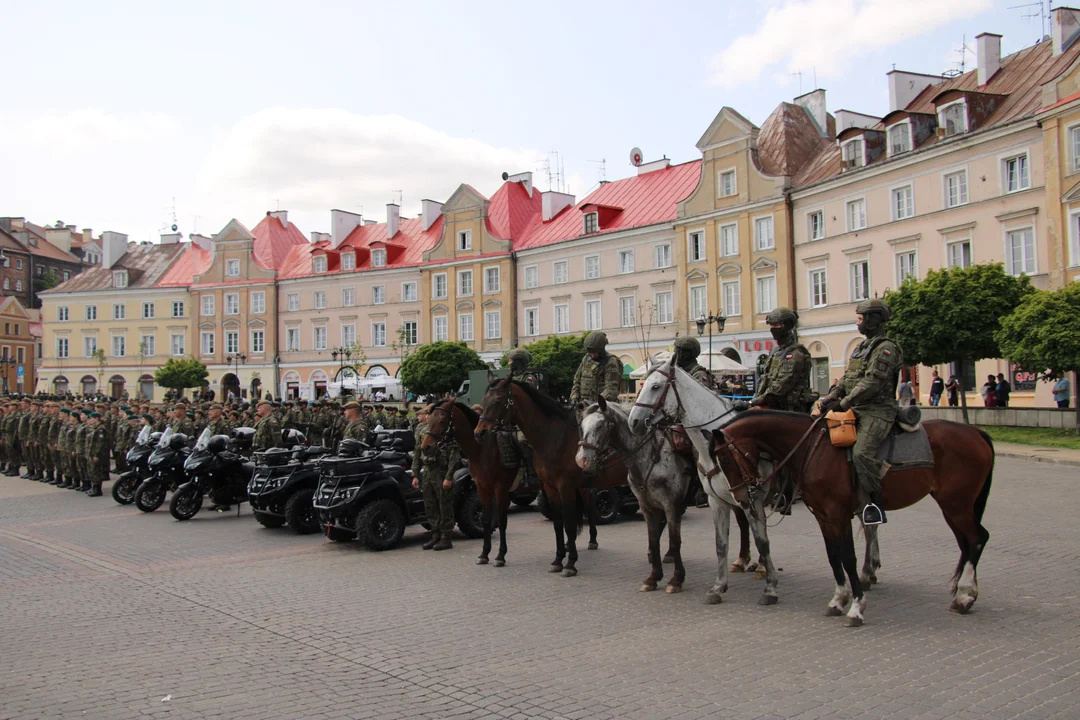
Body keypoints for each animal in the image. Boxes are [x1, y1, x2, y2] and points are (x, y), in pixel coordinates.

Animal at [419, 399, 520, 569]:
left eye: (442, 420)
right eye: (429, 419)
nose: (425, 447)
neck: (483, 450)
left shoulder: (501, 489)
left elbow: (501, 521)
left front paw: (500, 556)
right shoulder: (482, 488)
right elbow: (486, 520)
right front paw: (484, 554)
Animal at [477, 379, 630, 578]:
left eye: (497, 400)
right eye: (484, 400)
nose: (480, 433)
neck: (553, 436)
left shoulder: (565, 487)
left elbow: (569, 524)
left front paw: (570, 563)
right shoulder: (550, 487)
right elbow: (558, 523)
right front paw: (558, 560)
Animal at [578, 397, 686, 595]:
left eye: (600, 425)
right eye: (582, 426)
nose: (583, 460)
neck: (651, 458)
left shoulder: (671, 505)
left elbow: (675, 542)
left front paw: (676, 580)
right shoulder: (647, 507)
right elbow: (653, 540)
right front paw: (653, 578)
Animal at [708, 410, 993, 626]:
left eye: (725, 459)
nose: (740, 497)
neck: (813, 448)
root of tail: (975, 432)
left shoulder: (838, 515)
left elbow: (848, 557)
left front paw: (856, 606)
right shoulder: (823, 517)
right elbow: (833, 556)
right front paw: (838, 599)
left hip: (956, 505)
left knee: (978, 538)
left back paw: (964, 596)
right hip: (955, 507)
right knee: (967, 543)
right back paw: (966, 593)